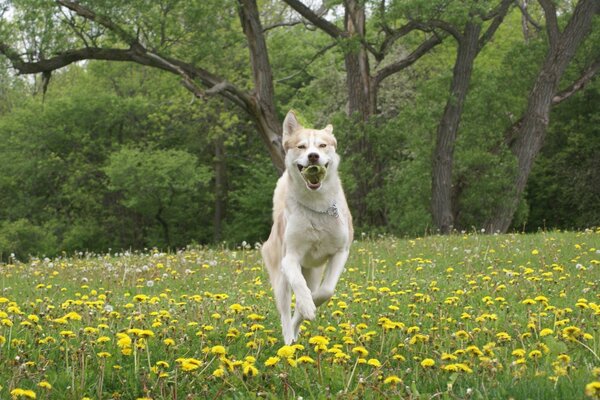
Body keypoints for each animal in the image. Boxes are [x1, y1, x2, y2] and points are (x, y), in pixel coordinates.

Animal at [262, 110, 354, 344]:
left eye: (322, 145)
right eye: (301, 146)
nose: (313, 156)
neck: (317, 205)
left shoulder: (340, 252)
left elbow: (326, 291)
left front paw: (308, 308)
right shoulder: (290, 258)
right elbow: (298, 285)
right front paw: (306, 305)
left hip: (312, 272)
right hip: (279, 278)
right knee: (285, 312)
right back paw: (288, 341)